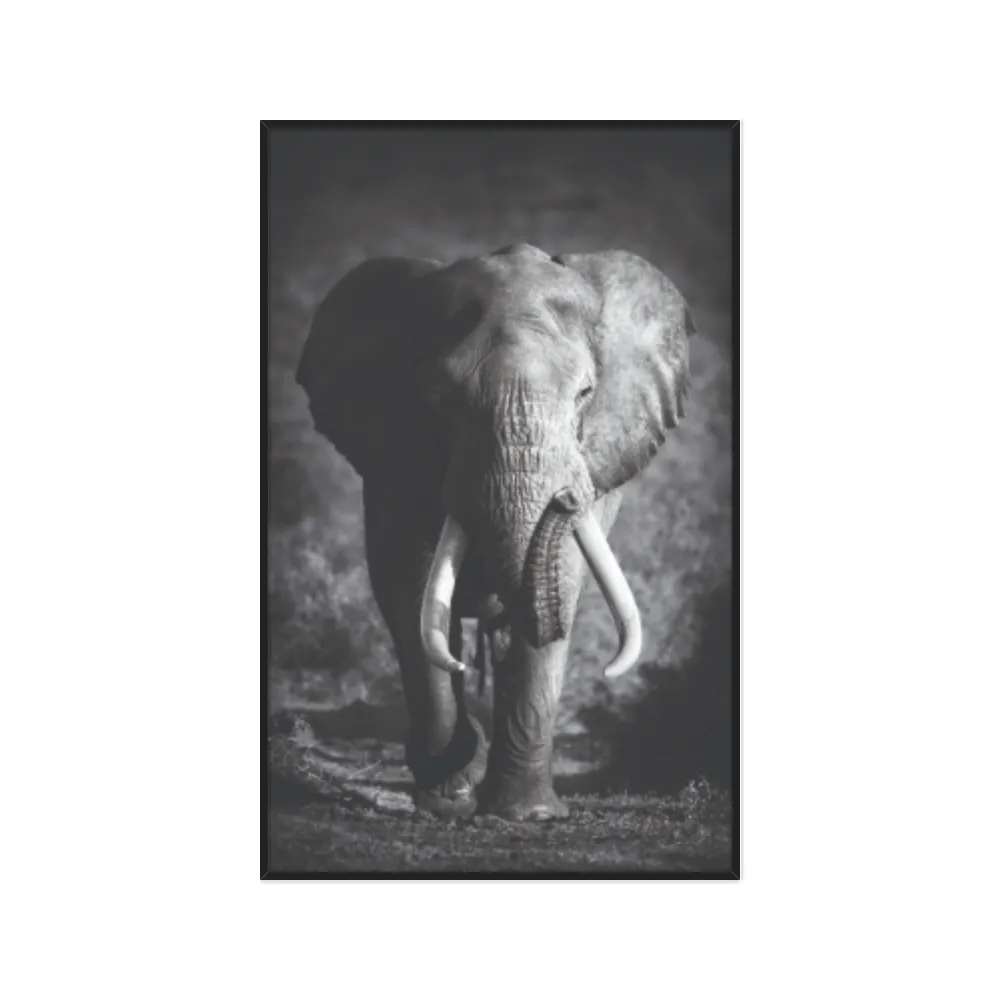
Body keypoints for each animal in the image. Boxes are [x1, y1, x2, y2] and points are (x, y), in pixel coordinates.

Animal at [295, 242, 695, 820]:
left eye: (585, 394)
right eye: (440, 398)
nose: (565, 497)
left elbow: (562, 582)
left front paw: (527, 815)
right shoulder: (394, 457)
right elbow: (410, 590)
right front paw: (447, 800)